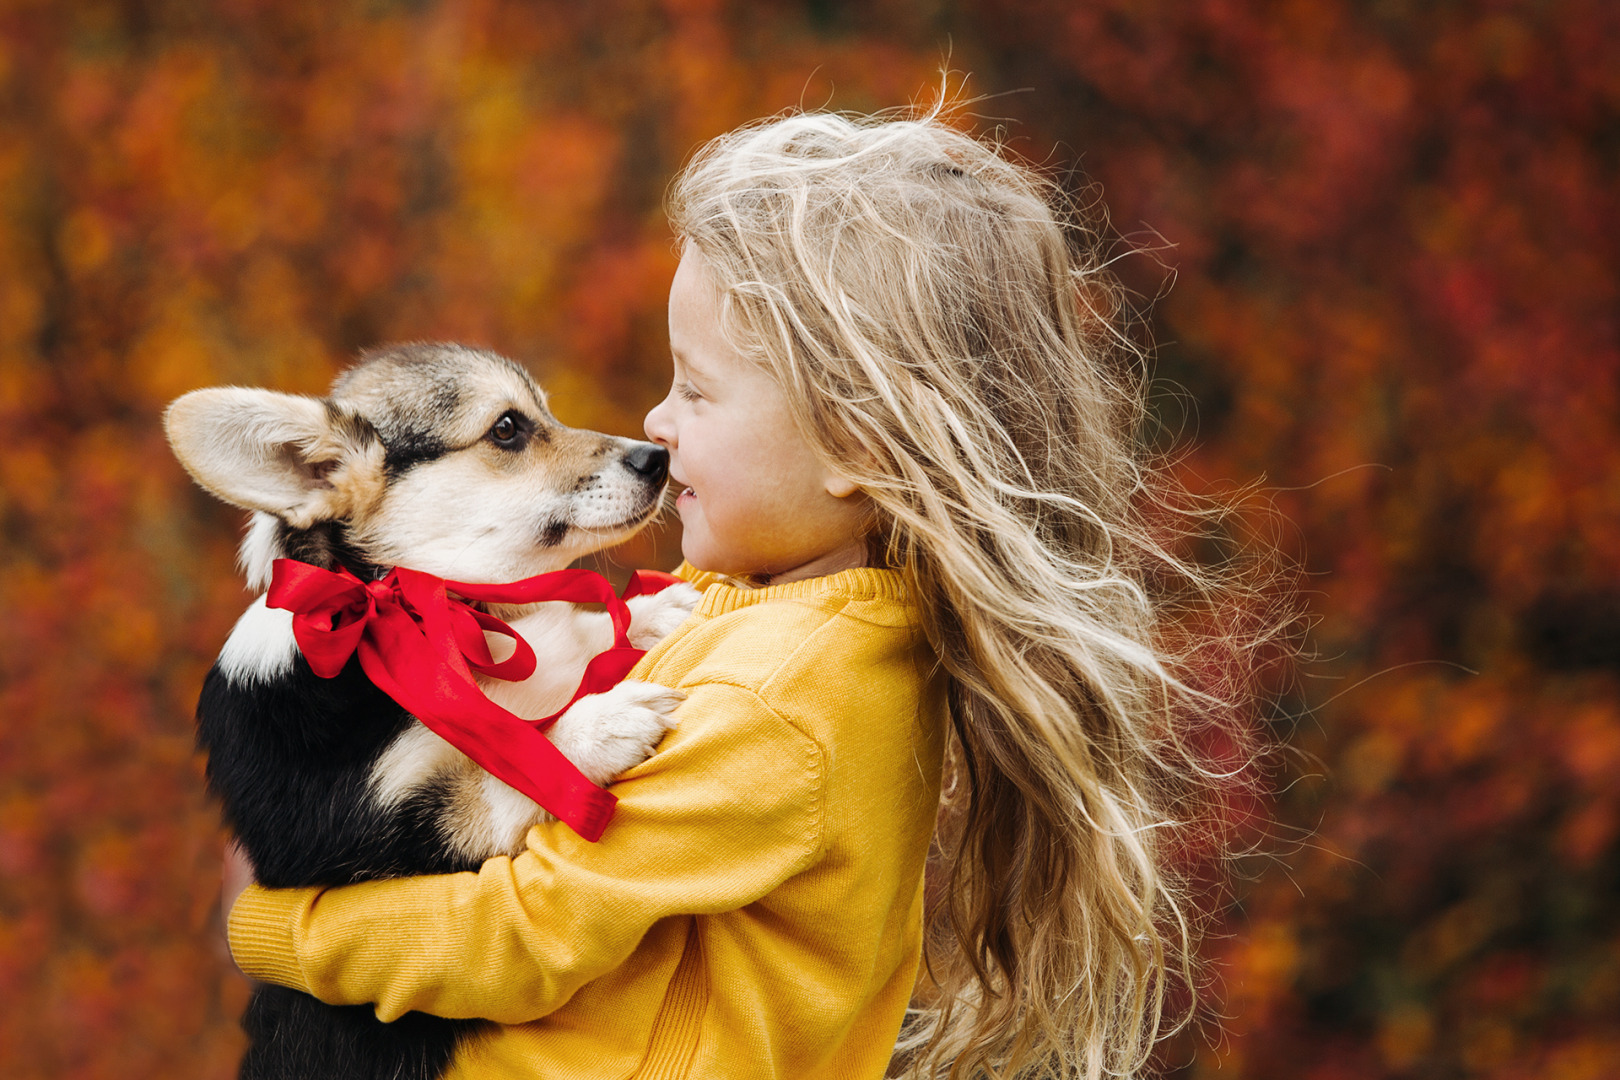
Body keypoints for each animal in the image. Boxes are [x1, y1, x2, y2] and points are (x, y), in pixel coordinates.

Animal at [166, 344, 696, 1080]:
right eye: (507, 428)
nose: (658, 457)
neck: (436, 616)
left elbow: (578, 640)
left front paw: (651, 611)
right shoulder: (373, 839)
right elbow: (505, 771)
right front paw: (600, 723)